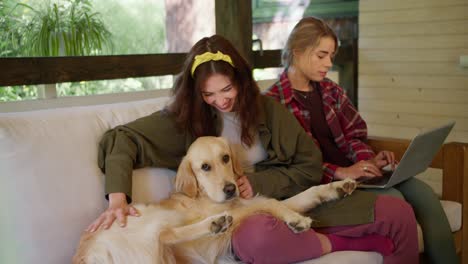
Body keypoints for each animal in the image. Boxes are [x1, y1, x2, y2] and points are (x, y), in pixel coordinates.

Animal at [75, 137, 356, 262]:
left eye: (226, 158)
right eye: (205, 167)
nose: (231, 189)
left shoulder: (244, 202)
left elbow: (305, 194)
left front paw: (338, 186)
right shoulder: (243, 208)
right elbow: (271, 203)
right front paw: (296, 220)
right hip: (153, 219)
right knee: (165, 234)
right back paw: (215, 224)